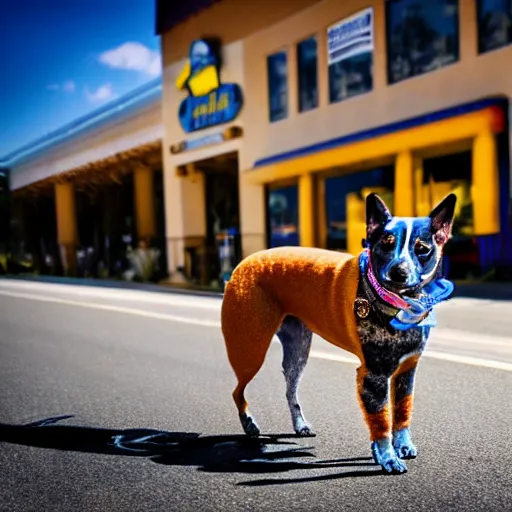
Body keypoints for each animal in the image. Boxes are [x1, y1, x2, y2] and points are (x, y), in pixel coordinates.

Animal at [220, 193, 456, 476]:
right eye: (386, 244)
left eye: (422, 248)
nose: (399, 273)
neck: (397, 304)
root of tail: (241, 265)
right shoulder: (373, 376)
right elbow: (381, 423)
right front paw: (388, 458)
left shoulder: (406, 371)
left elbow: (401, 413)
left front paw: (401, 446)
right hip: (249, 349)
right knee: (237, 391)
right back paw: (250, 425)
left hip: (298, 352)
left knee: (289, 389)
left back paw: (300, 425)